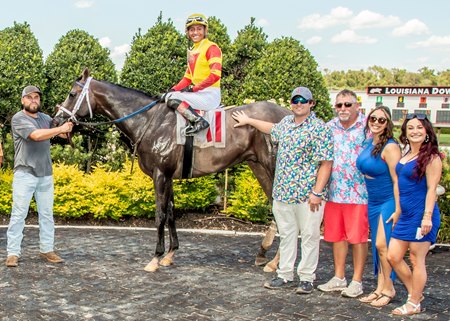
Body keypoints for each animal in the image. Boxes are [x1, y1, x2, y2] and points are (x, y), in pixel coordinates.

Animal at [56, 67, 290, 270]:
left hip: (274, 167)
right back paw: (265, 254)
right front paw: (170, 254)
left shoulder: (160, 174)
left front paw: (155, 257)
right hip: (258, 166)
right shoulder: (167, 176)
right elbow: (170, 212)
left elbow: (160, 214)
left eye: (72, 93)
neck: (149, 121)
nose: (58, 120)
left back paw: (275, 262)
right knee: (275, 208)